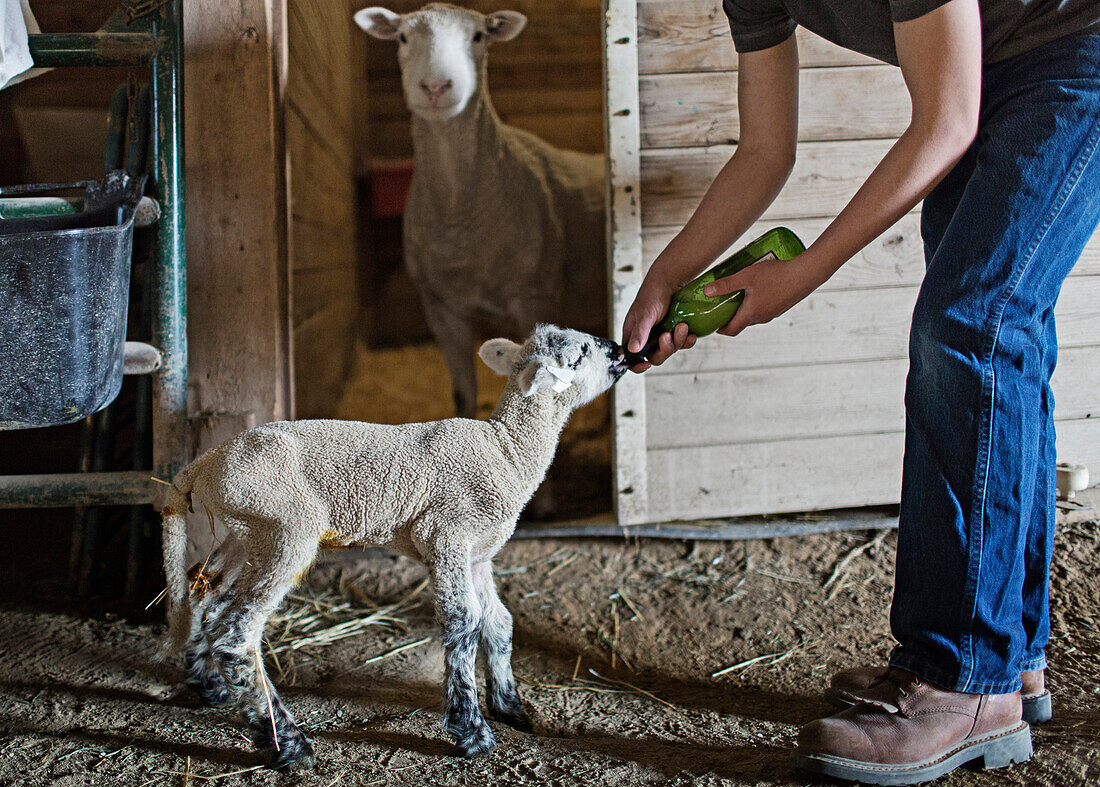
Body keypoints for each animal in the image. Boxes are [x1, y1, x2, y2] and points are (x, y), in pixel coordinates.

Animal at [159, 325, 633, 770]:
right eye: (579, 353)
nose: (621, 351)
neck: (507, 450)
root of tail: (201, 465)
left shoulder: (479, 555)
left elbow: (498, 622)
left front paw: (510, 708)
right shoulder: (445, 534)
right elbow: (464, 622)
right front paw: (471, 729)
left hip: (247, 531)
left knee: (204, 597)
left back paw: (210, 685)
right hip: (285, 526)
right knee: (236, 632)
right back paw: (286, 742)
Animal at [354, 4, 607, 418]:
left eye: (479, 36)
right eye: (403, 37)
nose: (435, 87)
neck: (461, 216)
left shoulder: (534, 295)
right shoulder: (441, 307)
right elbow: (462, 394)